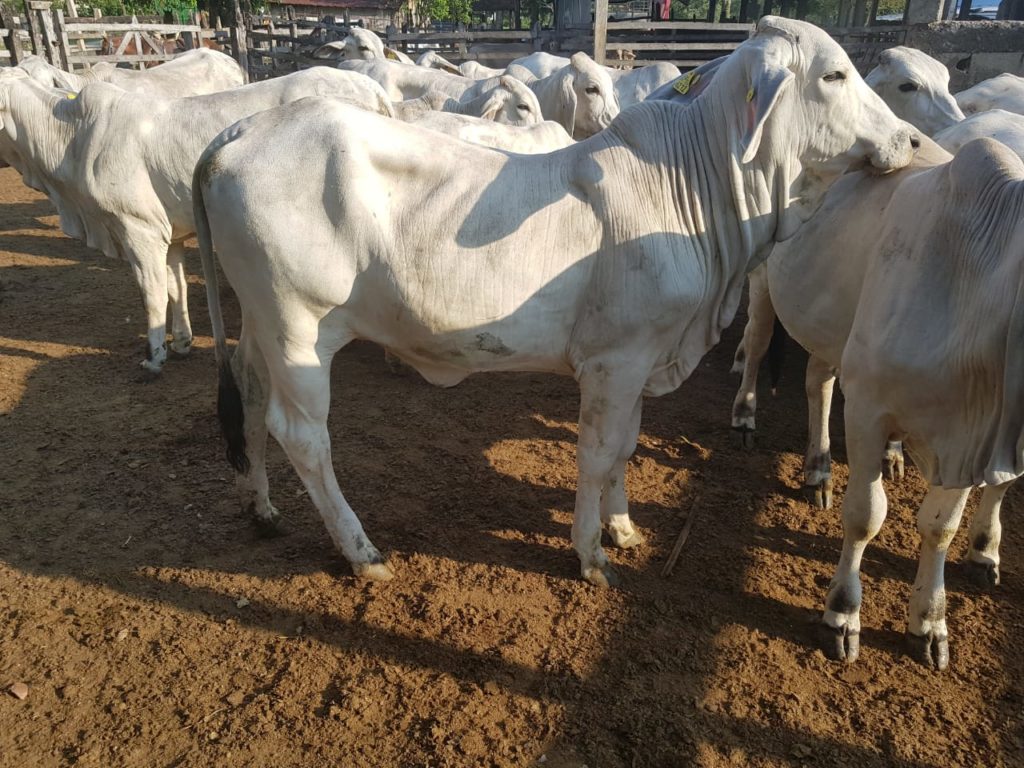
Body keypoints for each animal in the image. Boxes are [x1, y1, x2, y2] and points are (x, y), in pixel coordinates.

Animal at [190, 17, 916, 585]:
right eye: (834, 75)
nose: (910, 141)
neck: (695, 189)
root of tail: (235, 135)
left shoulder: (641, 362)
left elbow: (625, 447)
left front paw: (623, 528)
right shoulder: (611, 363)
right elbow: (596, 453)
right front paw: (590, 551)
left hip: (263, 326)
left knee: (249, 396)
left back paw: (260, 507)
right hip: (299, 329)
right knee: (303, 436)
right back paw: (362, 552)